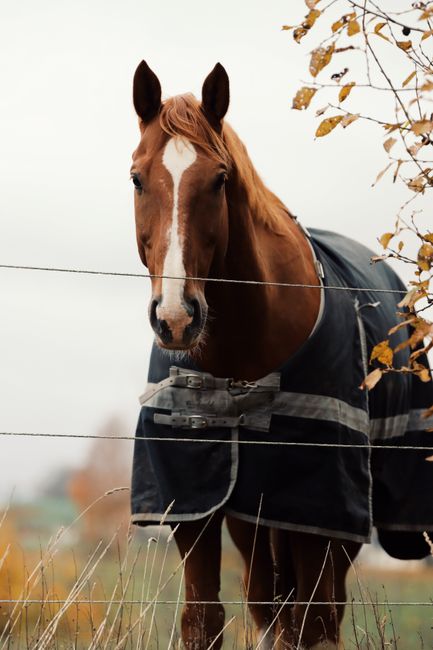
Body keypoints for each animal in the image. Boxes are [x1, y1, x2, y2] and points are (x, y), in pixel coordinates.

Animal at [129, 61, 433, 649]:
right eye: (136, 177)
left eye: (220, 179)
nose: (176, 318)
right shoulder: (196, 504)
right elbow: (205, 620)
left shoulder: (318, 508)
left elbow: (310, 624)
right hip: (252, 516)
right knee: (268, 605)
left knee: (319, 614)